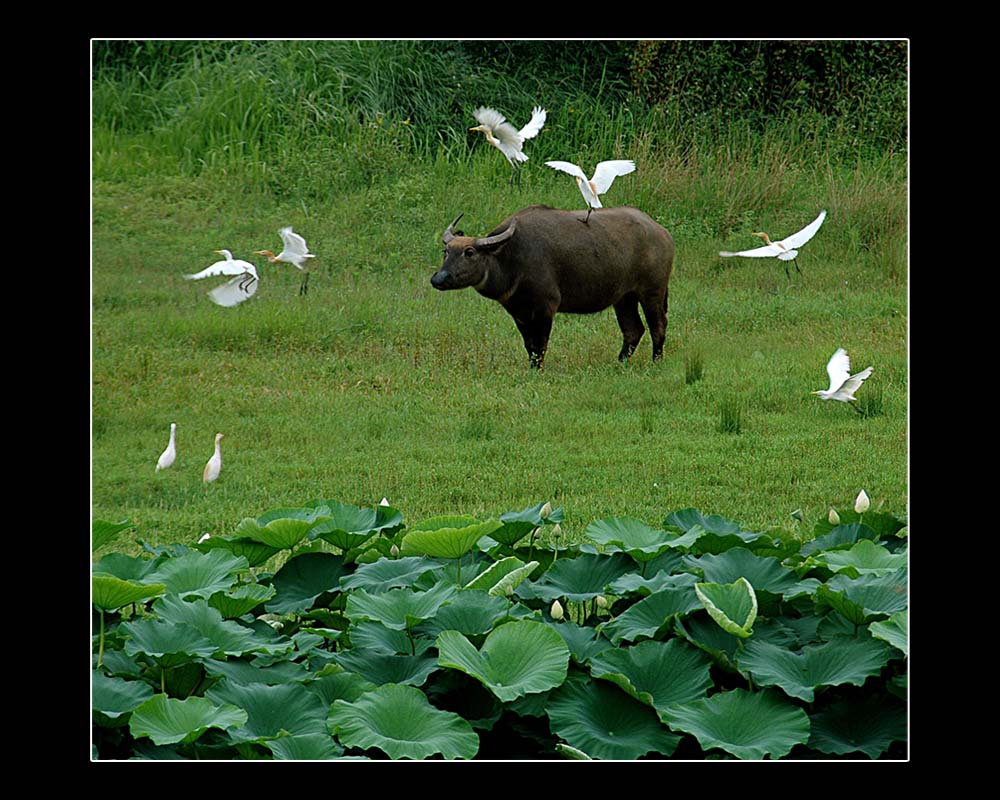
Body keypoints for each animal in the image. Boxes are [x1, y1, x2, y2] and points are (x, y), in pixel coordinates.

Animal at [430, 206, 672, 368]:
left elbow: (540, 345)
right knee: (633, 330)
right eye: (446, 251)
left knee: (658, 325)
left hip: (652, 292)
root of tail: (662, 232)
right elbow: (529, 346)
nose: (438, 279)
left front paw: (538, 370)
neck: (511, 259)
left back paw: (656, 361)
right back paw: (619, 363)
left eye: (469, 252)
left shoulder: (546, 308)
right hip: (623, 297)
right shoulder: (519, 313)